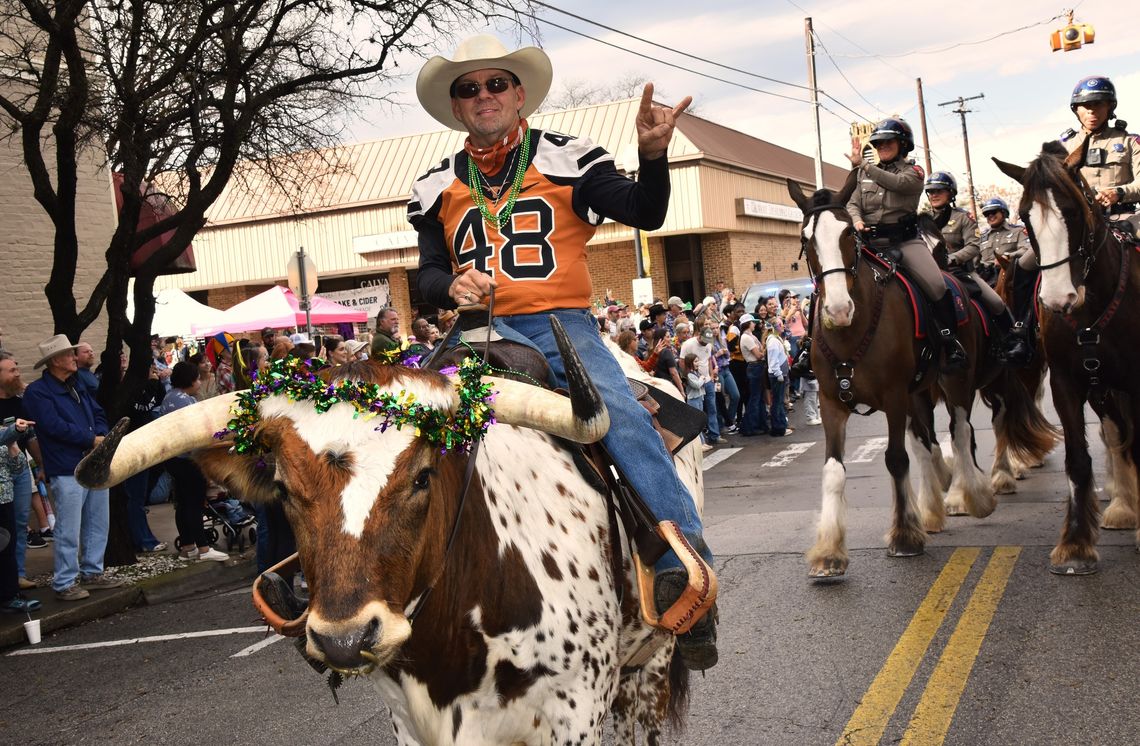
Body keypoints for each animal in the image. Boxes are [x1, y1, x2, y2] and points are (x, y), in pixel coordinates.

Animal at [788, 172, 994, 581]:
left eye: (848, 234)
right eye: (806, 239)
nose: (838, 309)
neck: (852, 331)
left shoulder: (895, 396)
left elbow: (896, 458)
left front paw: (904, 537)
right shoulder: (832, 402)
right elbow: (834, 470)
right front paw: (829, 552)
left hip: (955, 382)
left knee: (960, 432)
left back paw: (970, 496)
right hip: (920, 392)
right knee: (926, 442)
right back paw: (930, 509)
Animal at [994, 142, 1140, 572]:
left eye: (1073, 211)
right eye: (1026, 215)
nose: (1059, 299)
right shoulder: (1066, 383)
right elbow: (1078, 458)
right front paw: (1075, 544)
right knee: (1115, 435)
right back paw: (1122, 506)